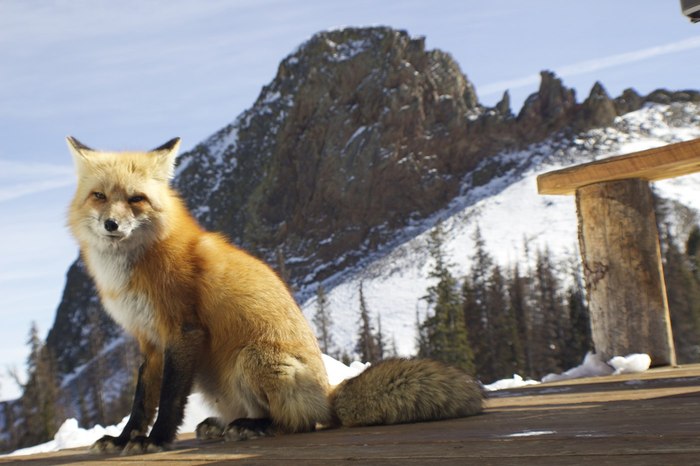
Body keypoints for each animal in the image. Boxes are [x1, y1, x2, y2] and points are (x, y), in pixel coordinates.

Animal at [65, 136, 484, 456]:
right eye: (99, 196)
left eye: (135, 199)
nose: (111, 224)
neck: (135, 267)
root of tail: (329, 395)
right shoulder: (148, 340)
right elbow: (142, 400)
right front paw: (124, 439)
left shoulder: (182, 331)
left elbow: (168, 398)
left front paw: (156, 439)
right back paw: (222, 425)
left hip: (252, 357)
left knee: (298, 423)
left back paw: (256, 426)